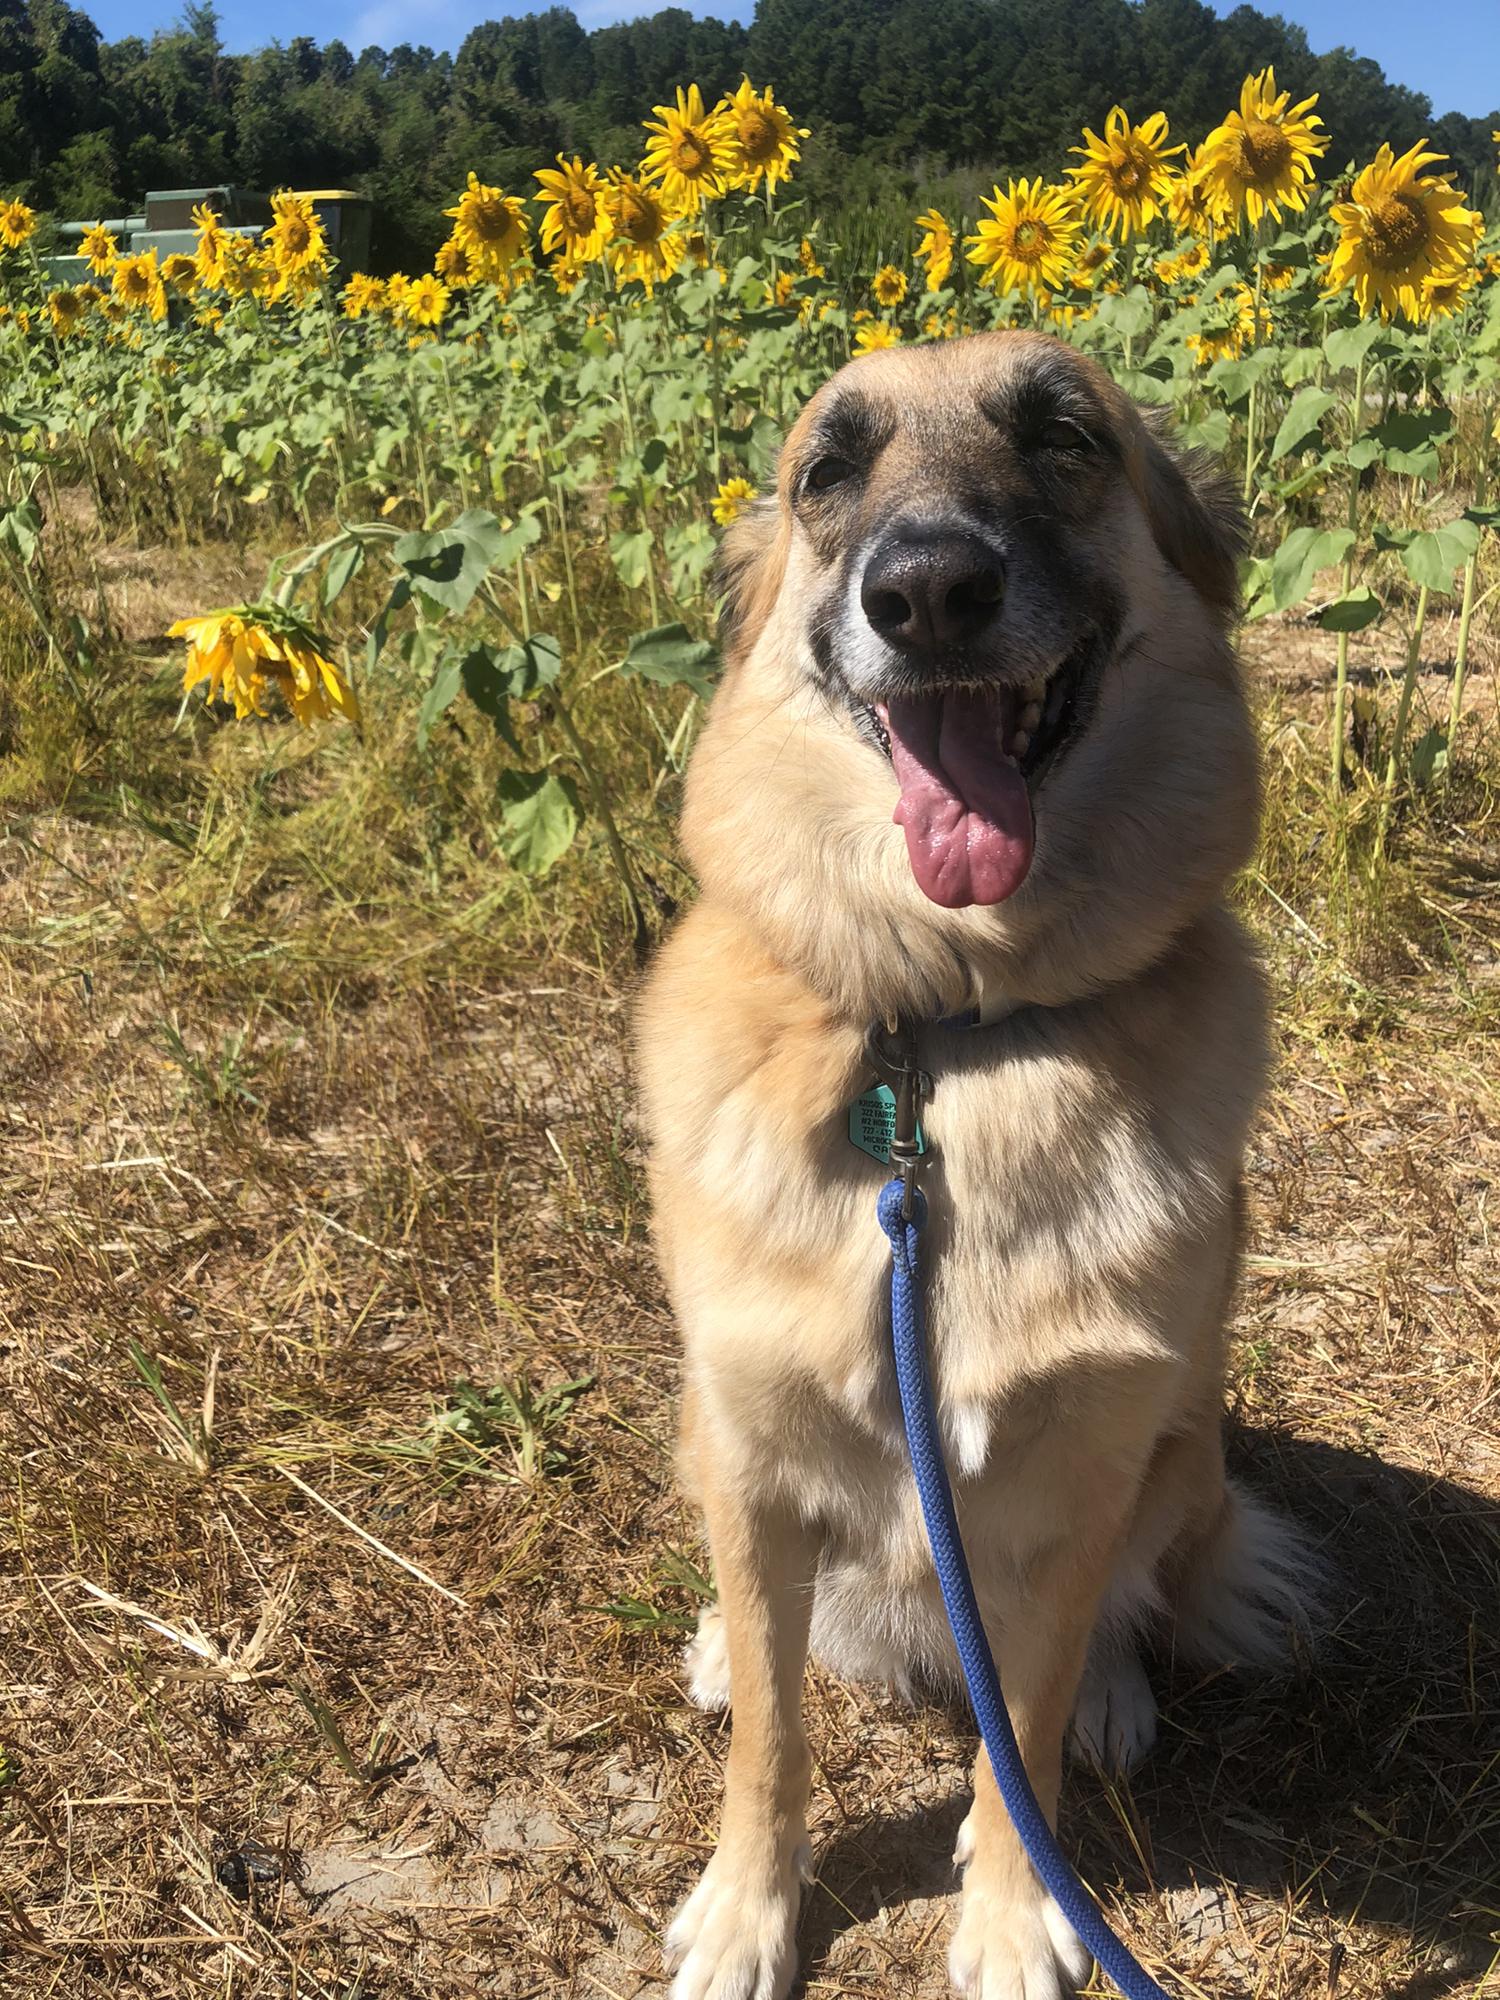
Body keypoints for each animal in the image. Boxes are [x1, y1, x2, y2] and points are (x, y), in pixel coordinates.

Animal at [636, 336, 1312, 1992]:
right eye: (827, 469)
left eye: (1065, 437)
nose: (929, 590)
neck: (940, 1040)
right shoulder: (749, 1439)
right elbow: (774, 1734)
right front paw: (748, 1910)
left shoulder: (1071, 1482)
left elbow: (1033, 1740)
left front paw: (1016, 1918)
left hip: (1180, 1446)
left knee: (1130, 1605)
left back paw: (1122, 1696)